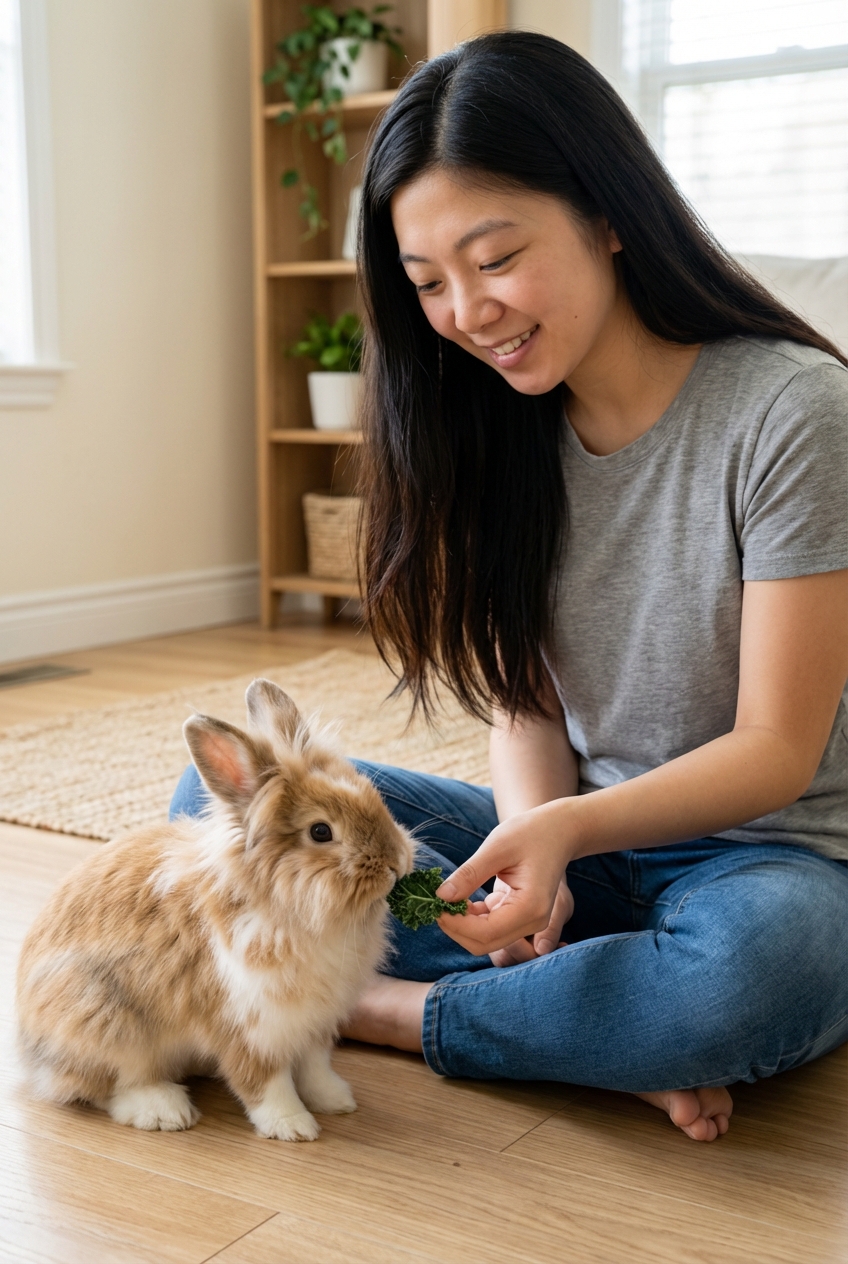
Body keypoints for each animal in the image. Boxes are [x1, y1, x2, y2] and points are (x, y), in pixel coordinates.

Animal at [16, 678, 415, 1141]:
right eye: (320, 831)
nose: (397, 862)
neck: (286, 906)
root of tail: (30, 1052)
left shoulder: (312, 1024)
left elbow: (314, 1068)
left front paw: (336, 1101)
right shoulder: (250, 1026)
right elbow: (265, 1082)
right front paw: (293, 1127)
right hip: (104, 1022)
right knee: (104, 1086)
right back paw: (163, 1110)